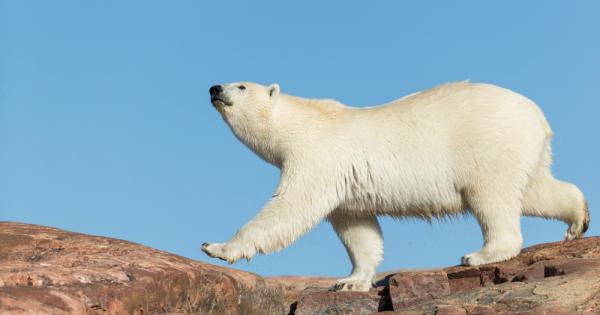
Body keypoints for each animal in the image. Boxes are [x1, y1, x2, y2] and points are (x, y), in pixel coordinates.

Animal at [203, 81, 592, 292]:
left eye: (242, 85)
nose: (215, 88)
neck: (303, 122)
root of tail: (536, 113)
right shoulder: (347, 188)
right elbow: (359, 231)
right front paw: (350, 281)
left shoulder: (317, 158)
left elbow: (289, 207)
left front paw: (217, 247)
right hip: (525, 150)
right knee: (534, 190)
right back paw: (578, 221)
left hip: (488, 145)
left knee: (491, 197)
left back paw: (480, 254)